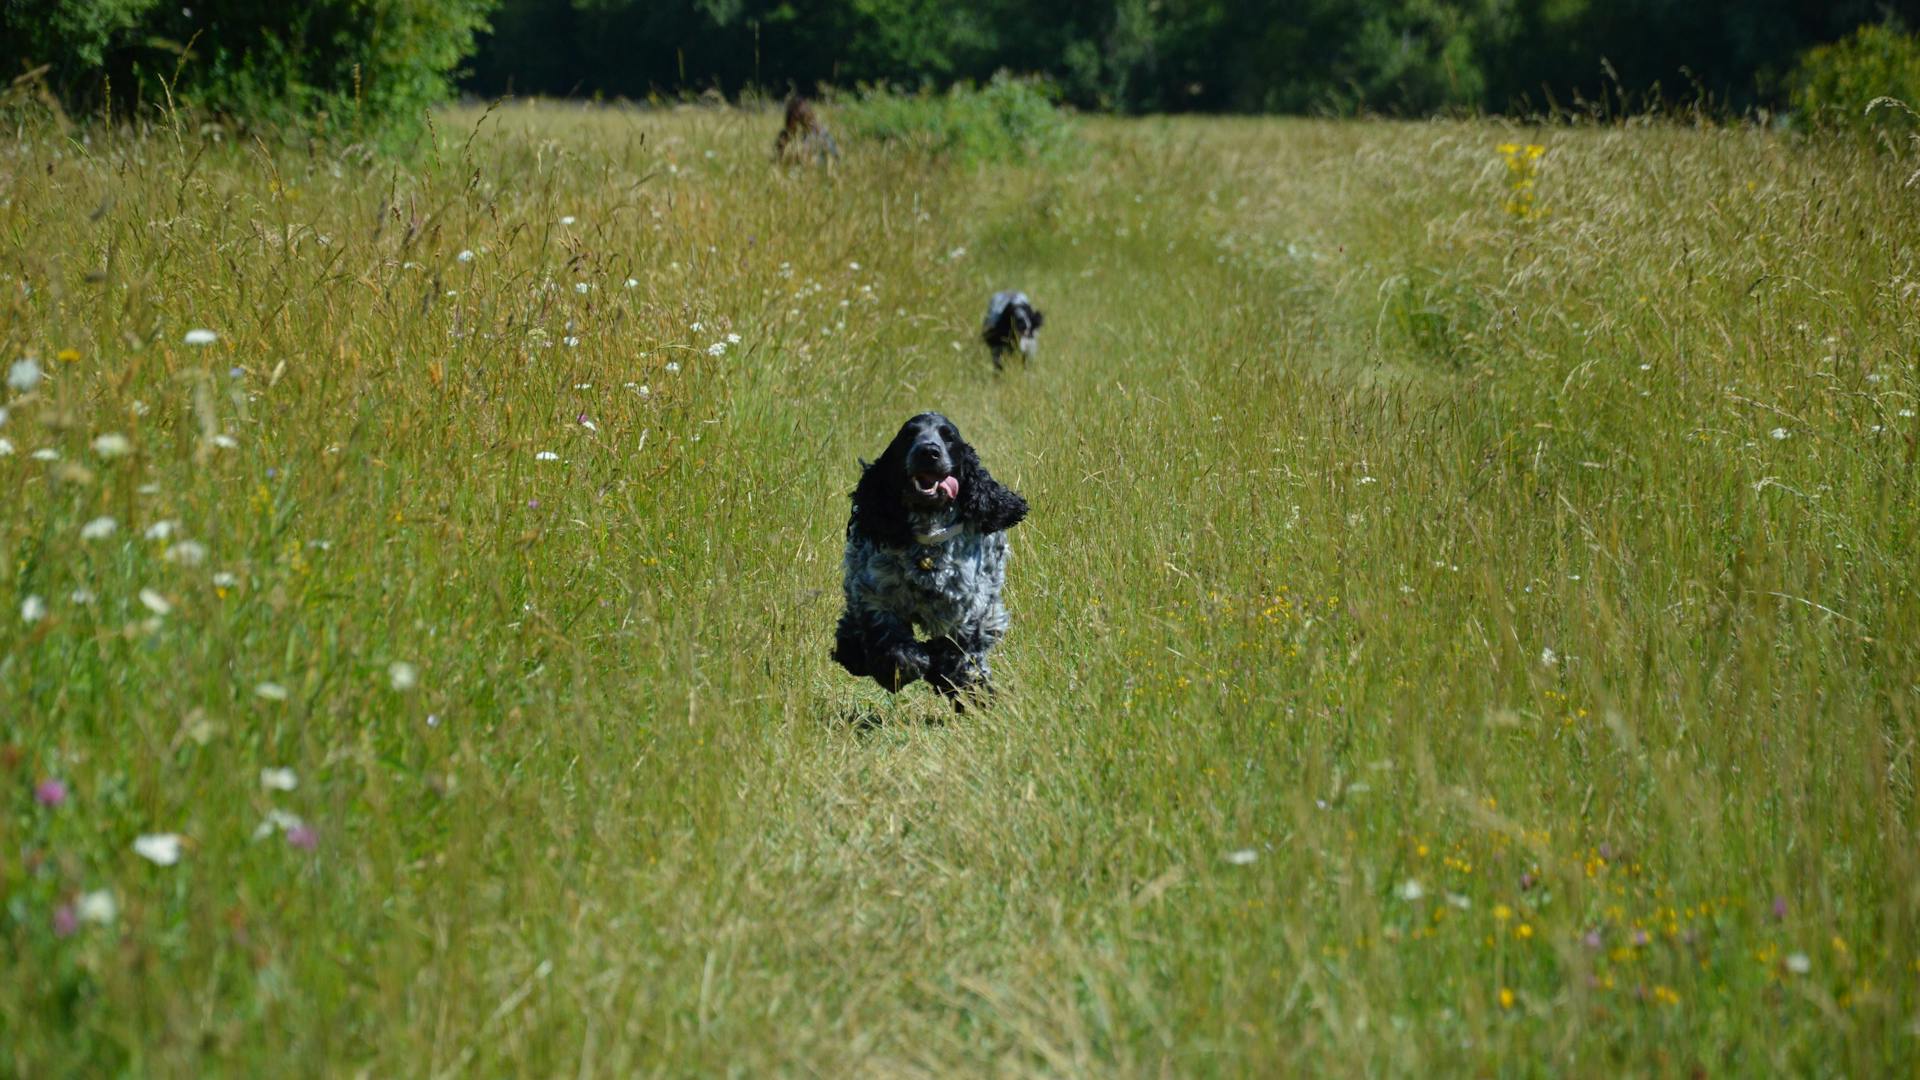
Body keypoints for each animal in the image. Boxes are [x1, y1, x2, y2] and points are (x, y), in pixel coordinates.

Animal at [833, 407, 1029, 703]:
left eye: (948, 436)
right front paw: (904, 666)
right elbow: (891, 641)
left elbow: (961, 652)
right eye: (909, 435)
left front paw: (966, 688)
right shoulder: (874, 596)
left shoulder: (970, 608)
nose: (928, 451)